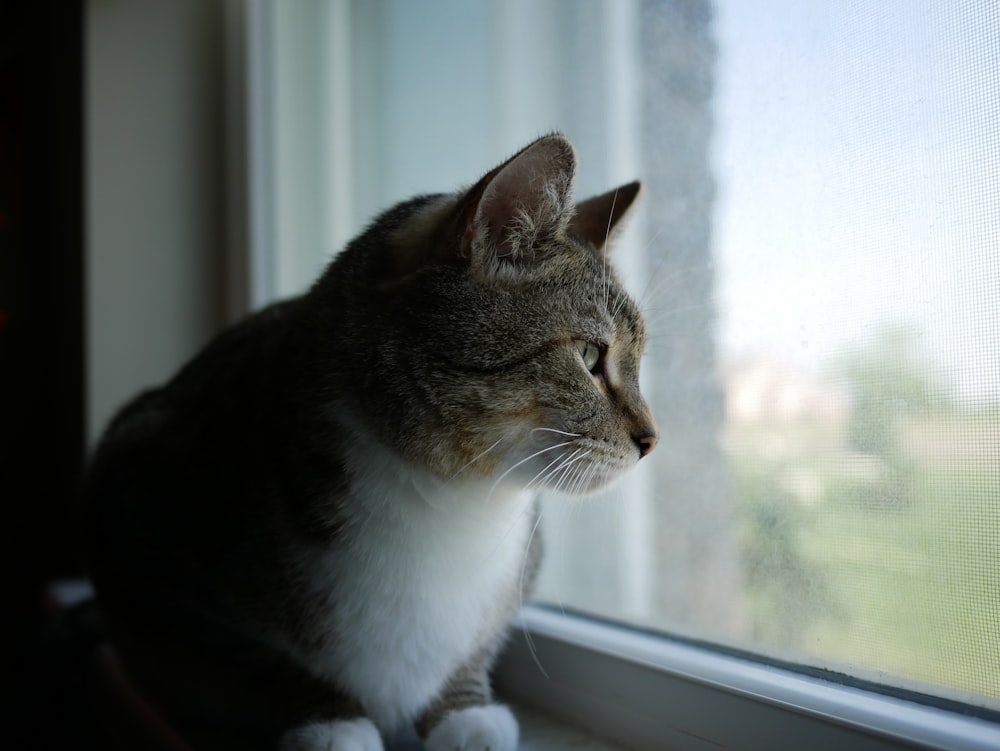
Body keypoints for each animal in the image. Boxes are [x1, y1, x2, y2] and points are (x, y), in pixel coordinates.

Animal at [86, 135, 660, 751]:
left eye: (638, 360)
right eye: (590, 356)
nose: (652, 439)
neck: (451, 501)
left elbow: (474, 647)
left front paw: (464, 711)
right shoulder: (156, 566)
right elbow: (263, 661)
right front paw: (330, 720)